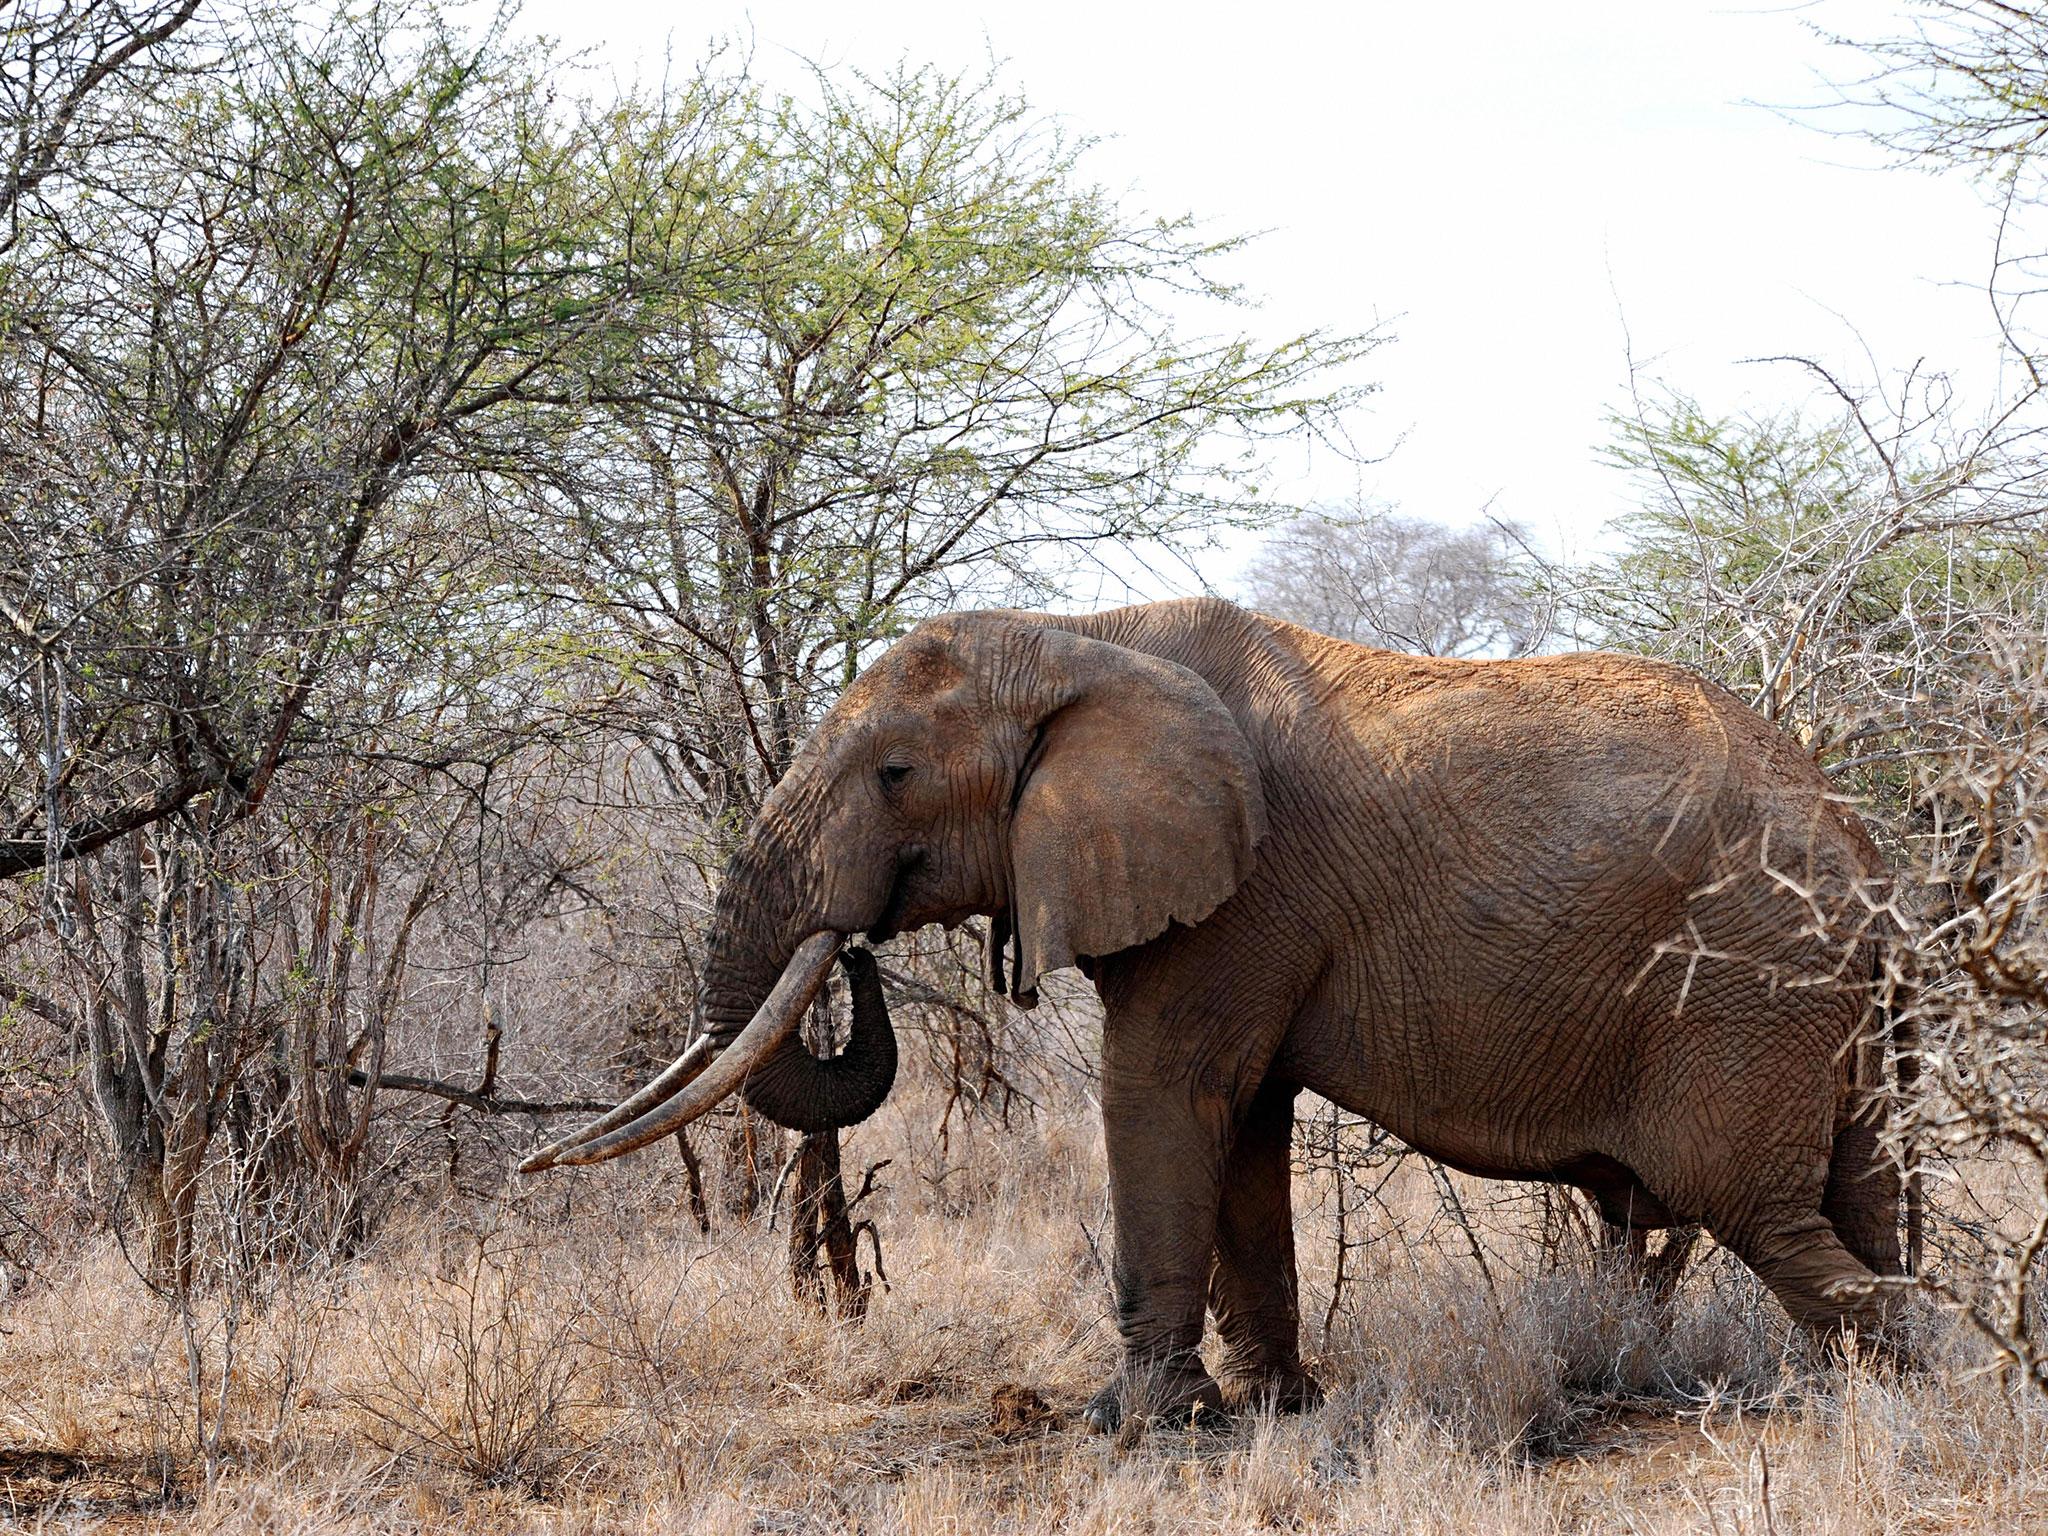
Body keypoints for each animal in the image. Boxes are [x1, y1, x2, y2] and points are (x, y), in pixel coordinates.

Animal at [524, 598, 1900, 1433]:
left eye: (896, 775)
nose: (855, 948)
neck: (1078, 637)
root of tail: (1853, 837)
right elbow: (1242, 1125)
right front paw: (1277, 1405)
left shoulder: (1241, 893)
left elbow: (1163, 1094)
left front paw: (1132, 1425)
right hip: (1849, 1013)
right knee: (1862, 1196)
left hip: (1746, 988)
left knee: (1757, 1211)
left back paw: (1904, 1380)